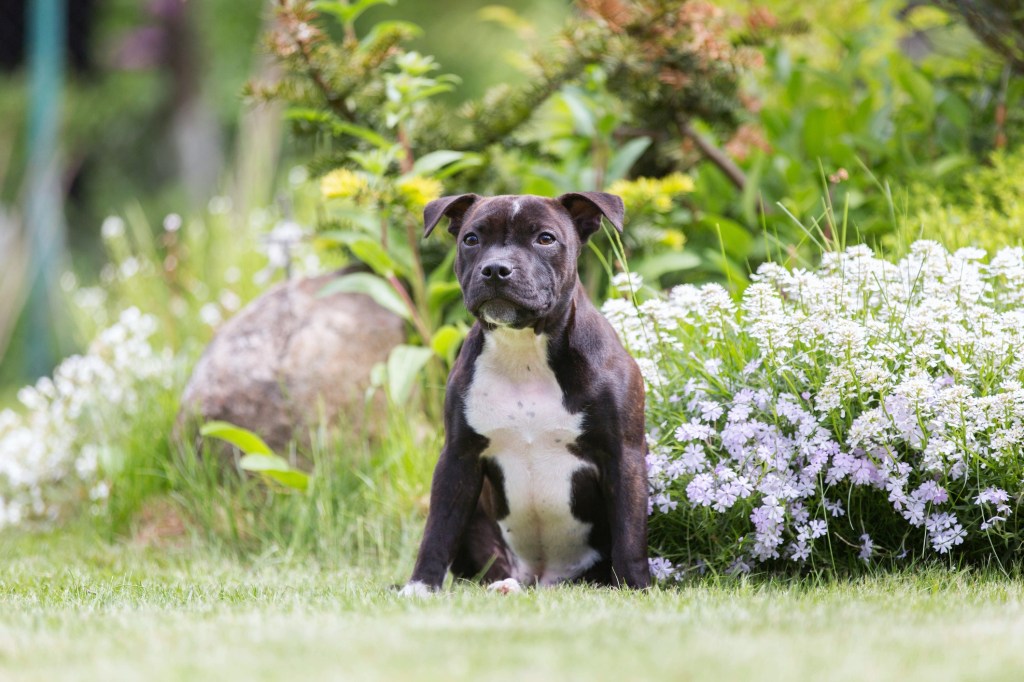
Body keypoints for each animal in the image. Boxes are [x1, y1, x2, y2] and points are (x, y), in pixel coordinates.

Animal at [399, 189, 647, 589]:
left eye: (545, 238)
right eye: (472, 239)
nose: (496, 269)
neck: (523, 350)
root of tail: (542, 579)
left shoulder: (623, 456)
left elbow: (630, 533)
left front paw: (638, 587)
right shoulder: (457, 458)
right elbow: (437, 530)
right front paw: (420, 587)